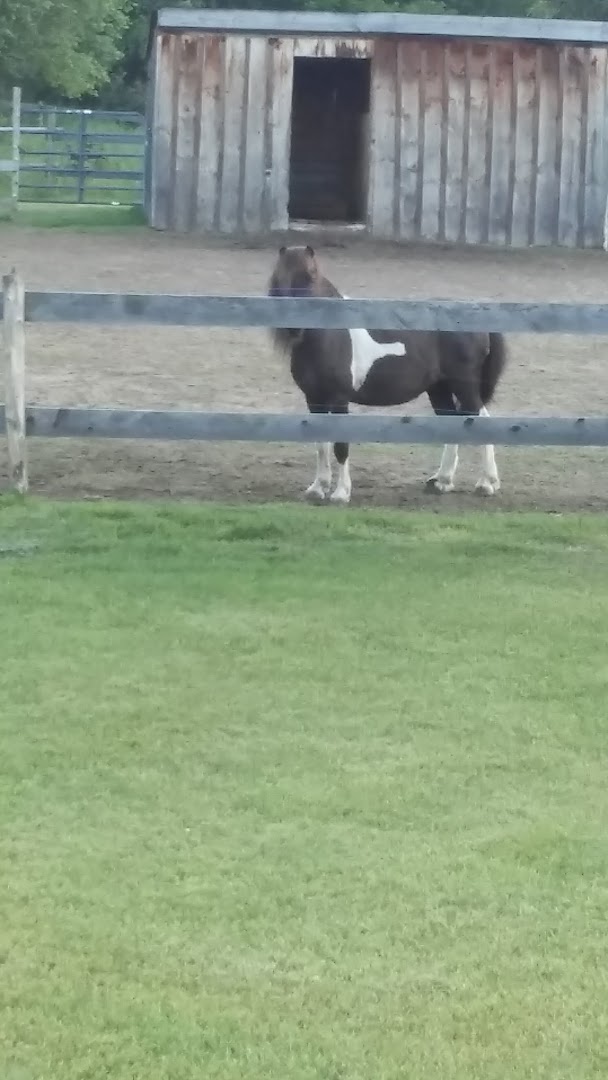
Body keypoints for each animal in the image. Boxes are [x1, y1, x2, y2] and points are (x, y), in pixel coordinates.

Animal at [268, 245, 508, 505]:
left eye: (310, 275)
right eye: (278, 278)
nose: (293, 326)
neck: (330, 336)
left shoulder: (339, 399)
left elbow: (340, 444)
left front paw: (341, 493)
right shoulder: (314, 399)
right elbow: (321, 443)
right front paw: (317, 488)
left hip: (464, 386)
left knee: (480, 420)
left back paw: (486, 483)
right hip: (439, 389)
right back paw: (441, 481)